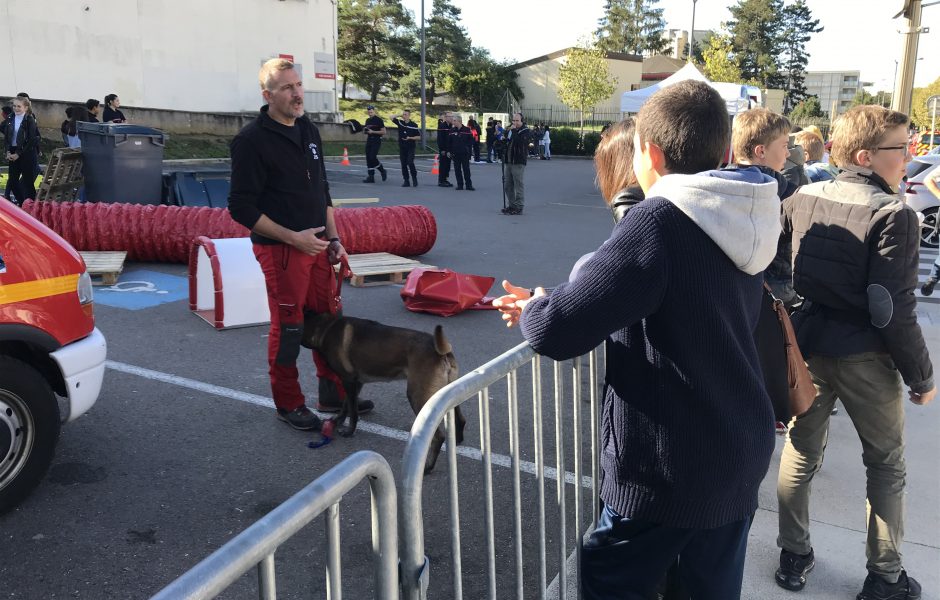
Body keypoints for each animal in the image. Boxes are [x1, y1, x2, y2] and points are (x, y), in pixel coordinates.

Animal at [302, 314, 466, 474]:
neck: (325, 326)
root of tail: (441, 351)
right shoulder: (355, 383)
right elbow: (346, 405)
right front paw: (338, 420)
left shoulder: (348, 381)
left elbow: (353, 412)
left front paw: (349, 431)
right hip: (451, 392)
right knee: (461, 420)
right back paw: (456, 442)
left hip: (419, 397)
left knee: (438, 437)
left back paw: (428, 467)